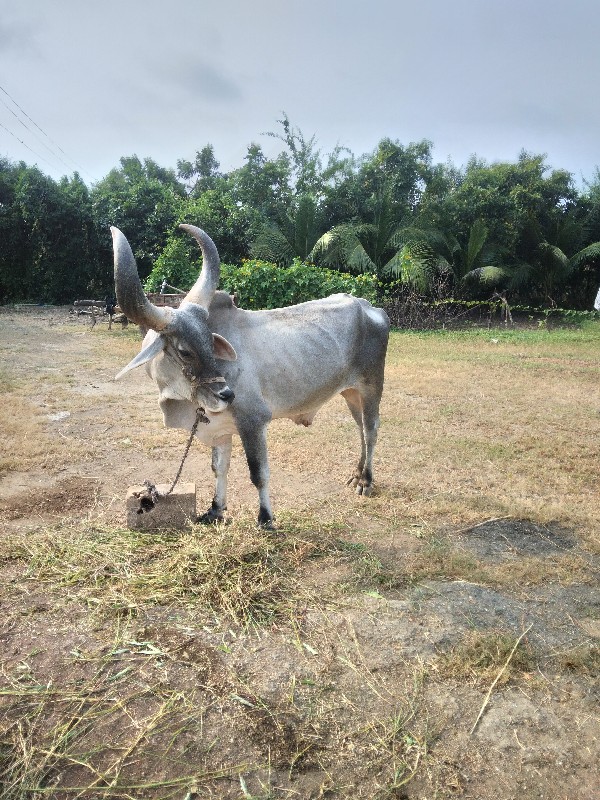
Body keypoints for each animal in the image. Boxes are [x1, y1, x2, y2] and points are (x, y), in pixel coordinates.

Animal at [111, 222, 390, 528]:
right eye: (184, 351)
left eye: (210, 342)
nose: (226, 394)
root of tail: (368, 306)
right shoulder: (218, 428)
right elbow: (219, 468)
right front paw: (215, 509)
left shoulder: (254, 422)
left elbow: (258, 474)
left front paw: (266, 519)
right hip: (350, 393)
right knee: (360, 427)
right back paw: (356, 474)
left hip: (371, 386)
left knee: (371, 429)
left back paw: (366, 480)